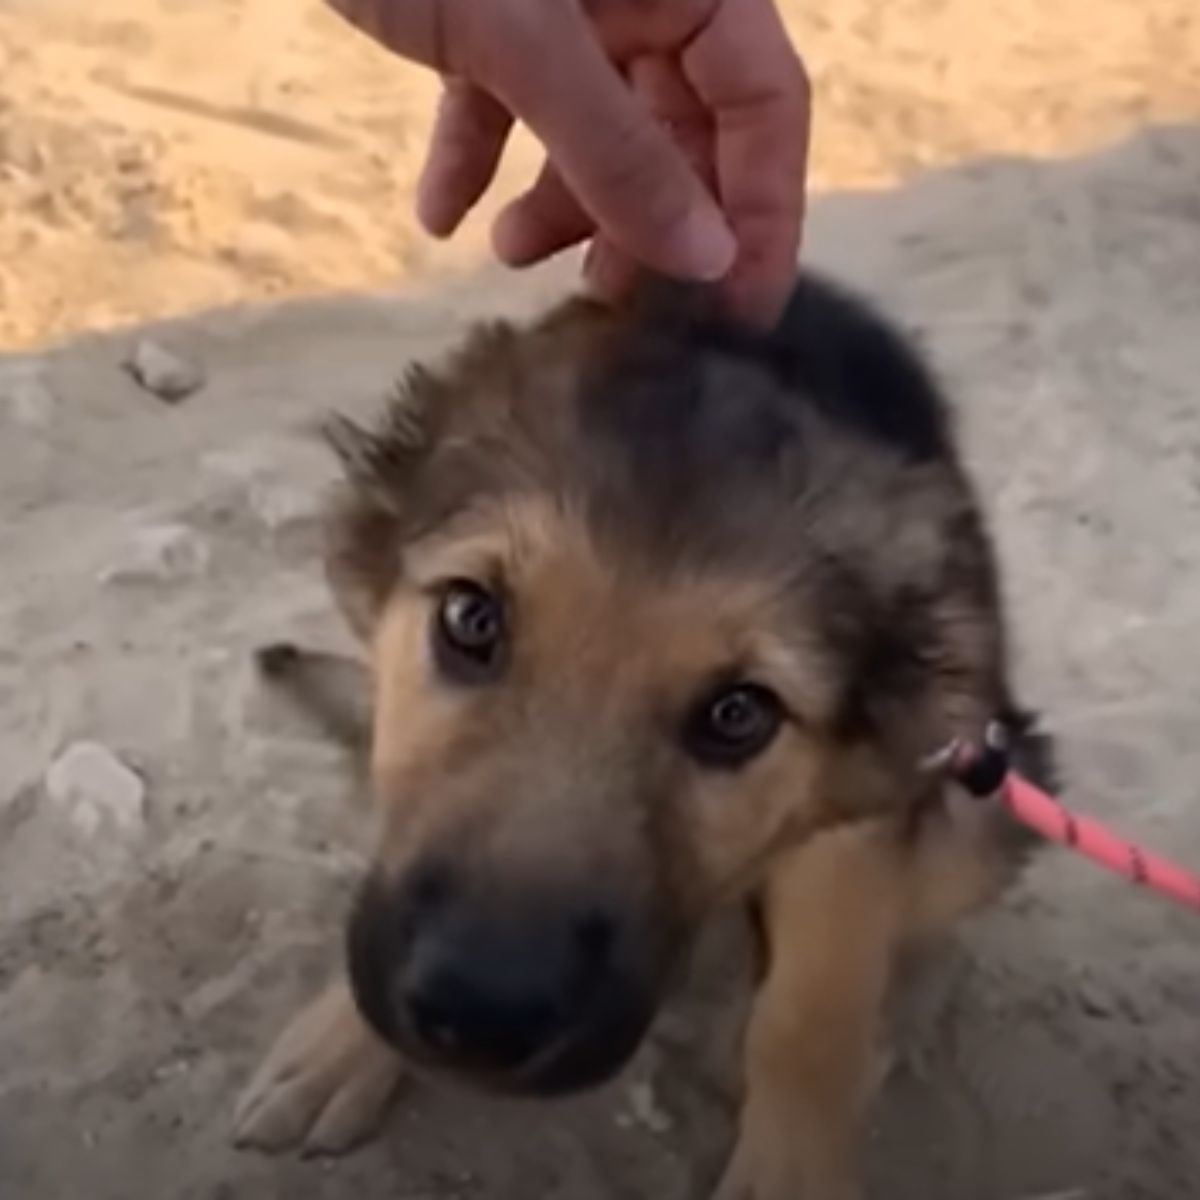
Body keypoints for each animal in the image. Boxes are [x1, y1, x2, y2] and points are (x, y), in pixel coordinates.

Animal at [231, 274, 1051, 1200]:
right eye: (470, 618)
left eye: (739, 714)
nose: (478, 1015)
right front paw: (342, 1046)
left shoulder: (861, 817)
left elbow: (812, 1011)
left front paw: (793, 1162)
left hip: (984, 789)